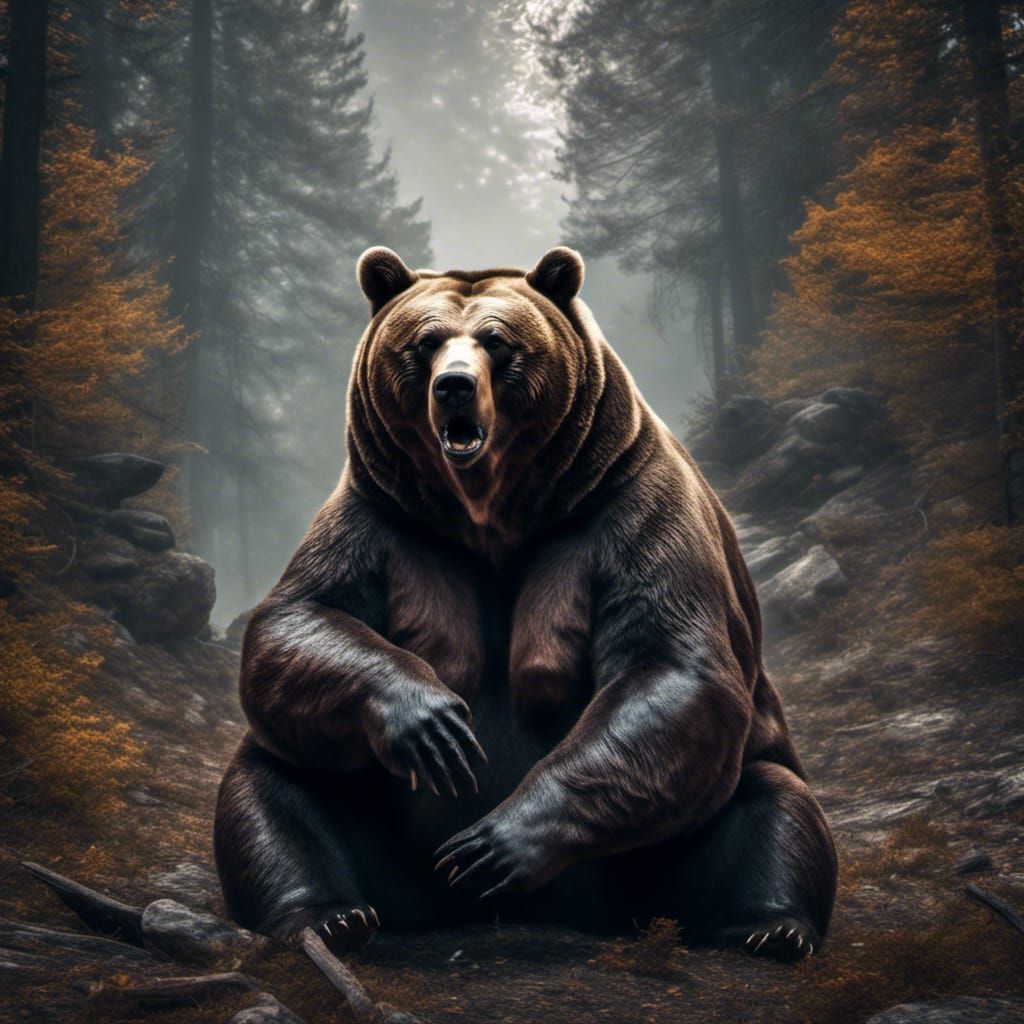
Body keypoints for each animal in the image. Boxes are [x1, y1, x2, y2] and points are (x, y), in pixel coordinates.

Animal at [213, 246, 838, 963]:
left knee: (772, 803)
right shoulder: (382, 519)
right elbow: (299, 619)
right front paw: (434, 726)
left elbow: (671, 667)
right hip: (385, 839)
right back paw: (327, 916)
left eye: (497, 340)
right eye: (424, 341)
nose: (454, 386)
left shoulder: (628, 510)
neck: (492, 515)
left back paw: (767, 926)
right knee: (273, 782)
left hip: (658, 857)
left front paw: (491, 844)